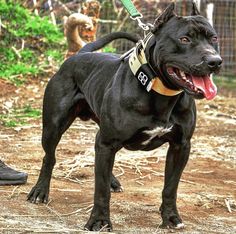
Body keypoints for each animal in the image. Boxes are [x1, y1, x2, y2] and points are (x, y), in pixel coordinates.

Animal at [27, 2, 221, 231]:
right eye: (184, 39)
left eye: (213, 38)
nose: (215, 61)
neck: (158, 92)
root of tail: (79, 54)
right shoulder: (107, 141)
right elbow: (100, 190)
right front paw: (99, 221)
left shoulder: (180, 146)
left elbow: (170, 187)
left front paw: (171, 217)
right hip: (53, 127)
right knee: (49, 157)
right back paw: (40, 191)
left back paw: (112, 181)